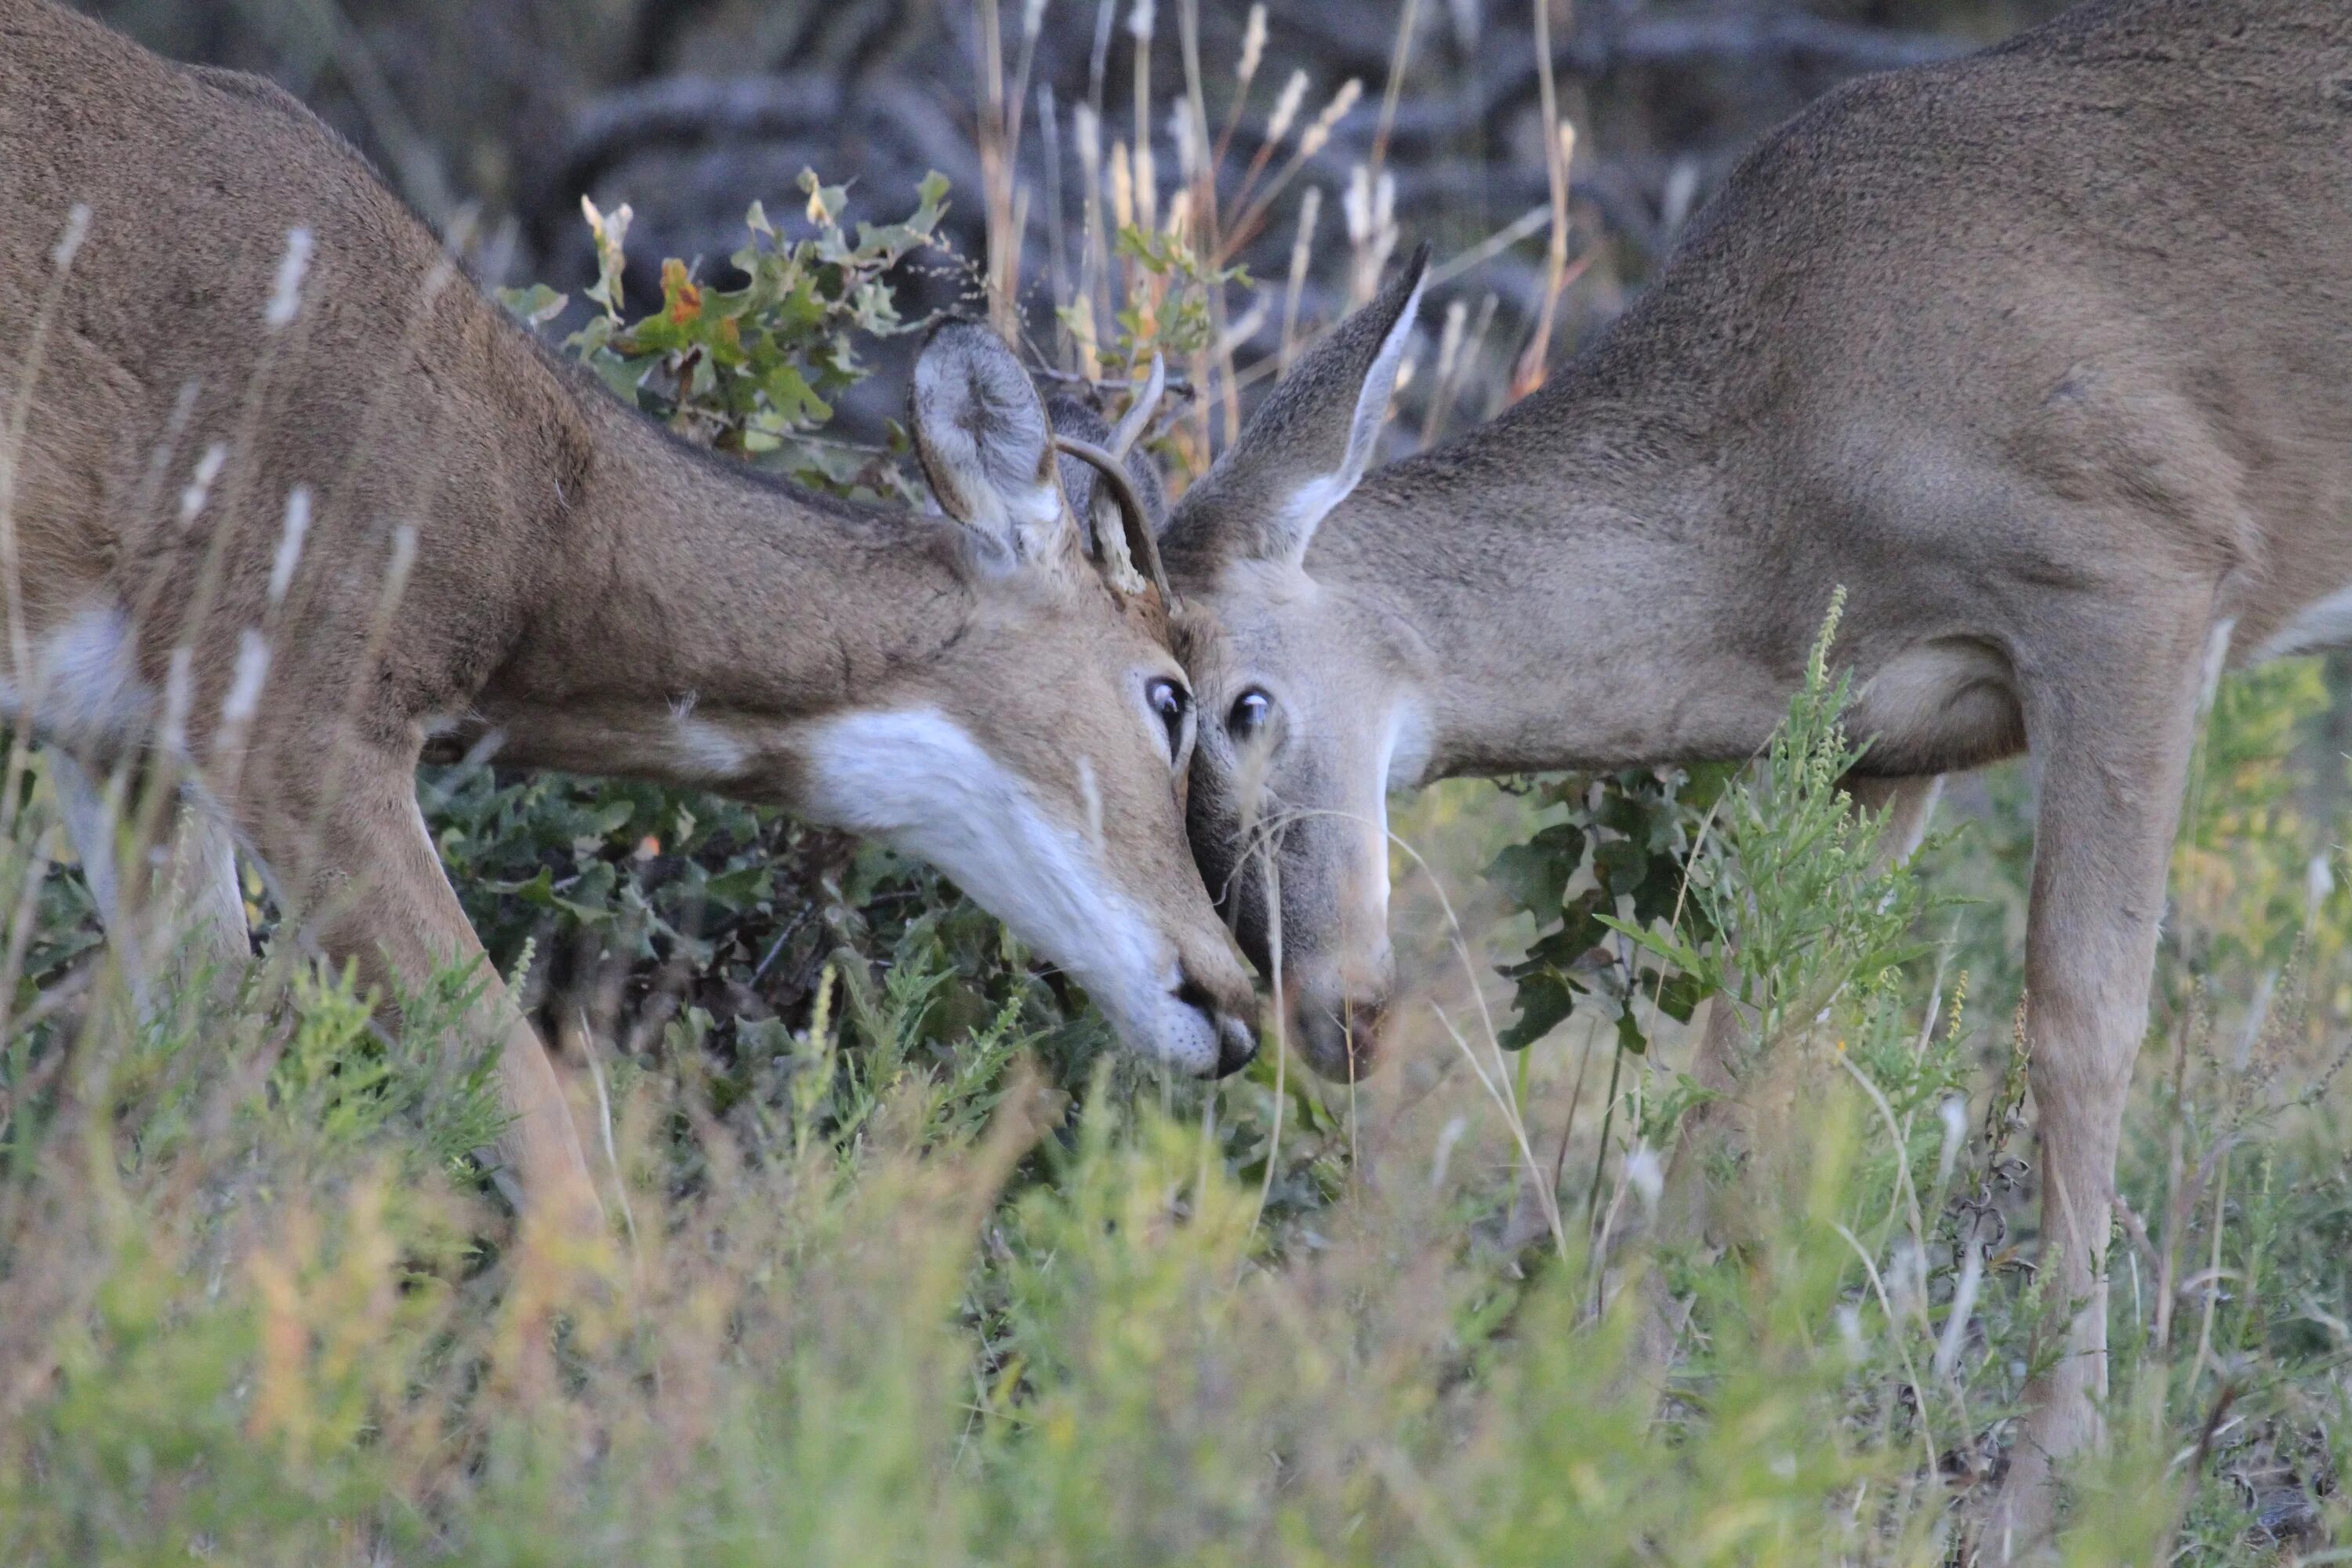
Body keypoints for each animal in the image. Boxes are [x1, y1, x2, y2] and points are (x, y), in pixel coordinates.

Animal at [0, 0, 1261, 1241]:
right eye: (1168, 695)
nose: (1236, 1002)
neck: (539, 531)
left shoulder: (124, 745)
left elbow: (193, 1082)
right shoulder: (290, 699)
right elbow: (538, 1115)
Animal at [1152, 0, 2352, 1542]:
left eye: (1243, 706)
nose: (1325, 1019)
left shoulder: (2137, 573)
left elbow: (2080, 1018)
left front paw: (2045, 1484)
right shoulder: (1878, 731)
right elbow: (1755, 1043)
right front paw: (1606, 1415)